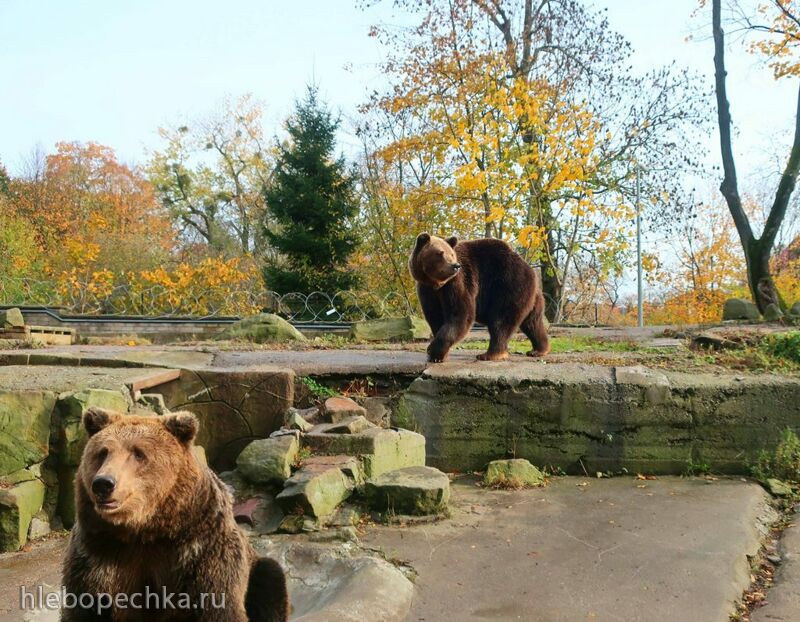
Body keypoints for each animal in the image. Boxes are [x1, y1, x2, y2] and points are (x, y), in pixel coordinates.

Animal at [62, 410, 290, 622]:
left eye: (138, 453)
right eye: (102, 452)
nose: (103, 483)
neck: (144, 528)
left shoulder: (200, 551)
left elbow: (219, 607)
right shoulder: (97, 554)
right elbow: (84, 607)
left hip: (256, 571)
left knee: (270, 579)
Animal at [412, 233, 552, 360]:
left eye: (451, 254)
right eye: (440, 253)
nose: (455, 266)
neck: (438, 284)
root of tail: (530, 269)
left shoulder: (458, 283)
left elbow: (460, 315)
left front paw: (433, 350)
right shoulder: (427, 289)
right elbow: (435, 316)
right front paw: (439, 355)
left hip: (508, 285)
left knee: (501, 321)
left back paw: (490, 354)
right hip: (531, 297)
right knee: (532, 323)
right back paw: (539, 350)